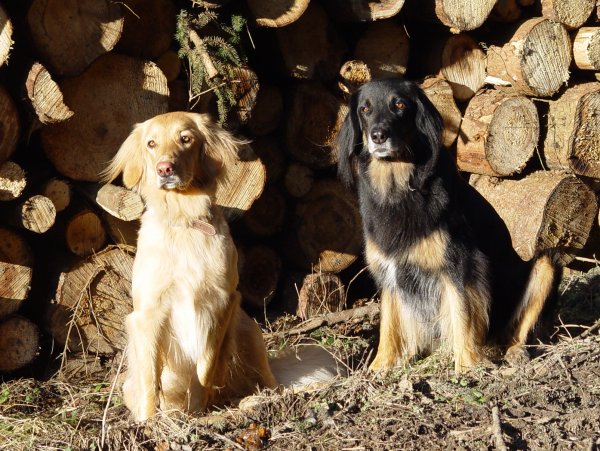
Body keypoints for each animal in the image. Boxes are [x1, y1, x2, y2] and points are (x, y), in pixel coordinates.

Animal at [103, 111, 278, 422]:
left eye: (185, 139)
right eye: (151, 143)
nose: (164, 169)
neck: (183, 218)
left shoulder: (224, 300)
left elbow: (207, 363)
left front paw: (205, 395)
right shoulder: (147, 313)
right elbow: (151, 378)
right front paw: (149, 422)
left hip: (250, 330)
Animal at [338, 78, 564, 374]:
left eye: (399, 105)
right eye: (365, 109)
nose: (378, 136)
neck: (399, 187)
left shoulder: (461, 263)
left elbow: (462, 314)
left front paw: (467, 365)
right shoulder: (390, 271)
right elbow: (389, 323)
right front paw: (379, 367)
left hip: (546, 263)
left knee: (519, 330)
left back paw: (515, 353)